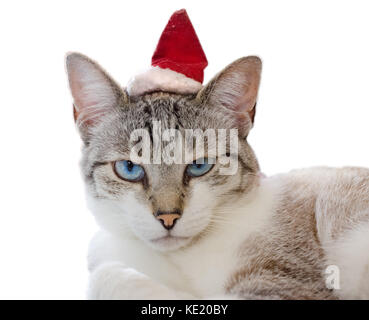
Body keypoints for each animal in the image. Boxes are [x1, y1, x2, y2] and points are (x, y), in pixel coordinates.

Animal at [65, 52, 368, 300]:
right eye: (130, 168)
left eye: (200, 166)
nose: (168, 218)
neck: (180, 259)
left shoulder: (285, 286)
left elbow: (107, 276)